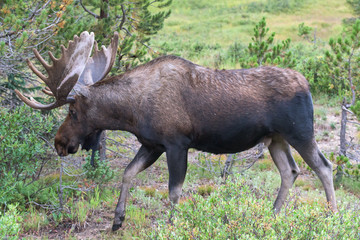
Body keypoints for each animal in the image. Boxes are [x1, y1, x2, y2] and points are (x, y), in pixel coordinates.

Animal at [16, 31, 338, 231]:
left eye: (72, 112)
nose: (59, 143)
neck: (131, 112)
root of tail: (307, 84)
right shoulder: (152, 144)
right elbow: (128, 173)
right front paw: (118, 219)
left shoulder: (176, 144)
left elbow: (173, 192)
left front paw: (171, 224)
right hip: (275, 139)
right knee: (290, 171)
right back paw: (272, 215)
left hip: (301, 133)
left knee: (324, 166)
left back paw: (332, 216)